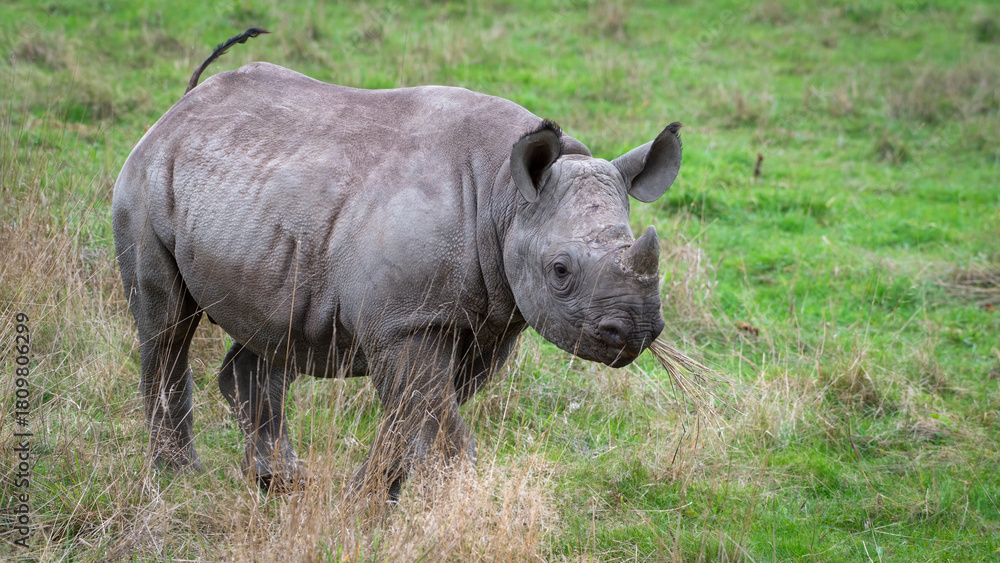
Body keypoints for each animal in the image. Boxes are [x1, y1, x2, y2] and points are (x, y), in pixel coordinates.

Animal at [113, 29, 682, 499]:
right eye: (561, 270)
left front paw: (364, 502)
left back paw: (279, 483)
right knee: (166, 327)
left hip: (258, 198)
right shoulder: (405, 322)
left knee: (270, 327)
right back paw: (180, 479)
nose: (635, 330)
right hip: (146, 177)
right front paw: (452, 509)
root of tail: (182, 105)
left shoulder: (484, 320)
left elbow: (412, 418)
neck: (504, 197)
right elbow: (435, 424)